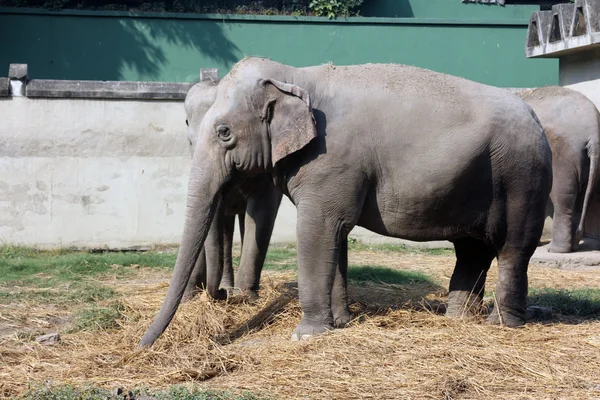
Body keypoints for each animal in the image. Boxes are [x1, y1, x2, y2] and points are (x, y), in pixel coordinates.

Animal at [182, 80, 282, 300]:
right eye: (190, 143)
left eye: (225, 135)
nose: (218, 293)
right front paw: (190, 298)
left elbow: (263, 206)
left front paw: (247, 297)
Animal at [516, 86, 600, 253]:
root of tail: (593, 132)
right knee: (581, 198)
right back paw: (573, 245)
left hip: (562, 156)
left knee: (563, 198)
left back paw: (555, 249)